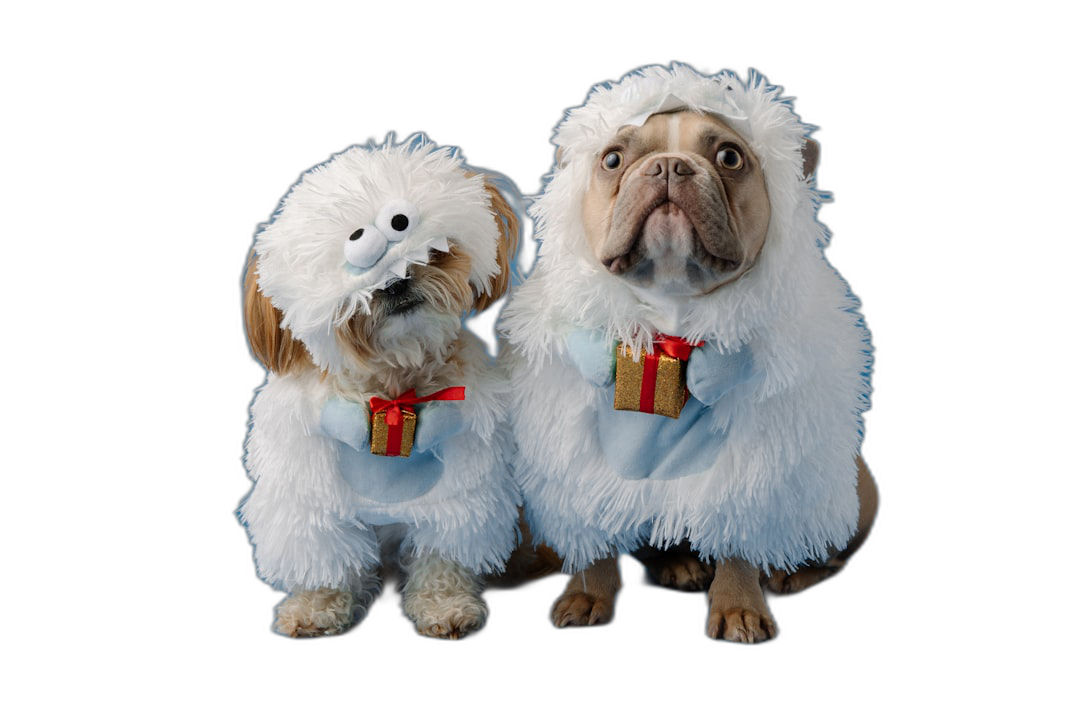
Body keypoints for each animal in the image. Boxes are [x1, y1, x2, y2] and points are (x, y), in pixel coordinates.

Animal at [239, 134, 522, 634]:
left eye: (420, 244)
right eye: (358, 252)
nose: (395, 281)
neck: (393, 390)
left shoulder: (458, 494)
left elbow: (443, 556)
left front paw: (445, 606)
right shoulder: (315, 502)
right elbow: (324, 561)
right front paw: (316, 608)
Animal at [496, 66, 876, 643]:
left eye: (730, 157)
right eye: (612, 160)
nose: (670, 165)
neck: (669, 329)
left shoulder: (749, 465)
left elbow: (739, 540)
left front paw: (740, 607)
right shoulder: (580, 457)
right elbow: (593, 536)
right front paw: (587, 594)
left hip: (853, 495)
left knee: (823, 548)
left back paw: (791, 572)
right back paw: (678, 564)